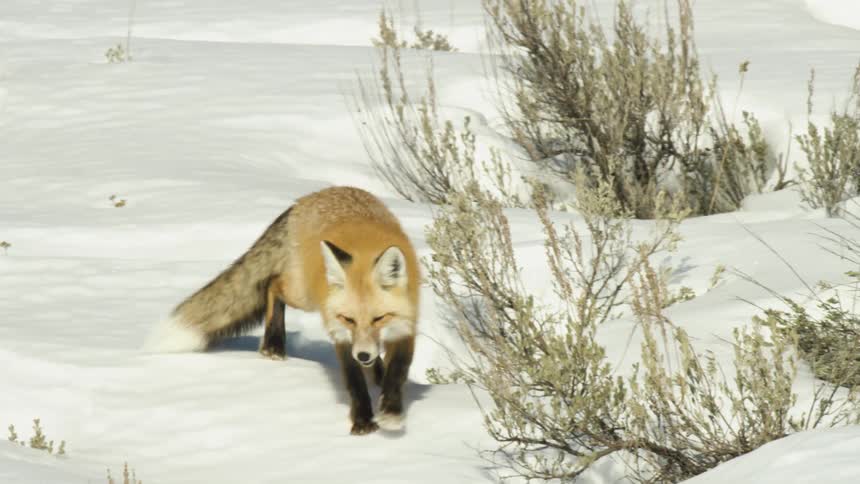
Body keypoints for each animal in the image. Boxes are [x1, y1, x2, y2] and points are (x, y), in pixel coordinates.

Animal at [145, 186, 420, 435]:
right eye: (348, 319)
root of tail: (306, 198)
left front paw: (391, 410)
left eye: (379, 318)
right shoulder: (340, 333)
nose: (363, 355)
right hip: (303, 294)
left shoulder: (406, 325)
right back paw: (273, 345)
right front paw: (363, 420)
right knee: (272, 284)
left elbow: (398, 371)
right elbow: (354, 381)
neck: (365, 249)